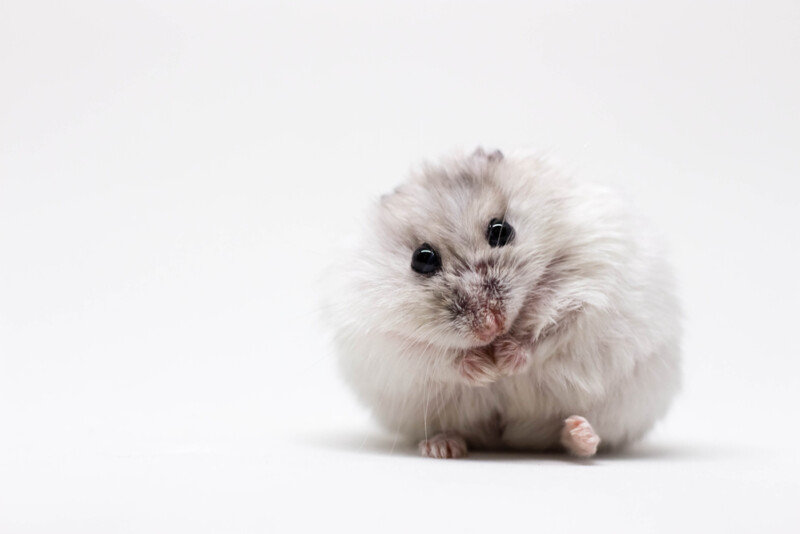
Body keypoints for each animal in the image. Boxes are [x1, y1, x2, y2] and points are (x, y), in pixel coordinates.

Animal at [324, 148, 681, 458]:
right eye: (421, 259)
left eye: (501, 230)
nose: (490, 327)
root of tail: (511, 439)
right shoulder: (381, 340)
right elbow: (434, 356)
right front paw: (485, 370)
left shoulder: (589, 291)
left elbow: (549, 333)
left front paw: (504, 362)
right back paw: (443, 446)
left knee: (569, 438)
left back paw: (580, 433)